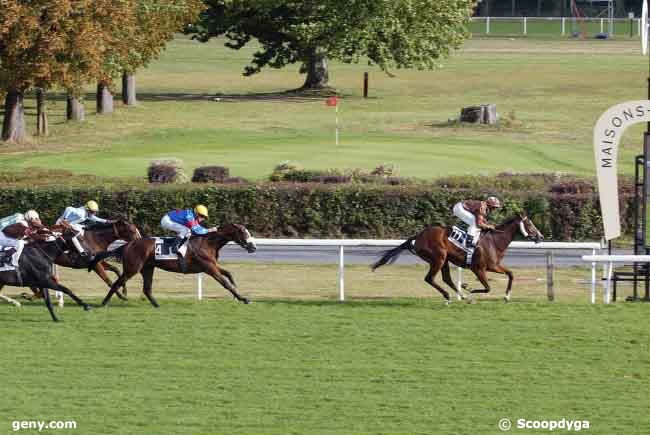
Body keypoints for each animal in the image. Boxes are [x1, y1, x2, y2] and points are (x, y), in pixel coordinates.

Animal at [370, 214, 540, 304]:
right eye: (529, 224)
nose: (540, 236)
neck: (494, 240)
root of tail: (418, 236)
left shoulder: (494, 266)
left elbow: (511, 274)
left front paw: (506, 296)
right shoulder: (479, 268)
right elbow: (487, 288)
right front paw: (468, 289)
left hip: (444, 260)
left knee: (446, 278)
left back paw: (461, 296)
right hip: (438, 258)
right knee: (429, 278)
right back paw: (449, 296)